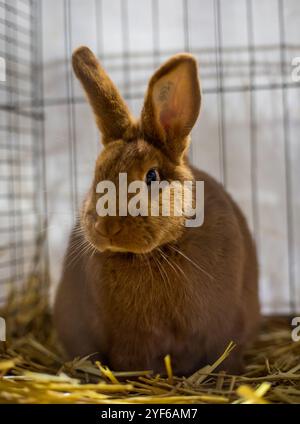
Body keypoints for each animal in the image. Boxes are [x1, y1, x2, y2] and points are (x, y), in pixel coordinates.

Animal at [54, 46, 260, 376]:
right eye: (97, 173)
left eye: (152, 176)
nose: (105, 227)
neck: (158, 252)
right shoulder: (132, 339)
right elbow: (135, 360)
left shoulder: (223, 328)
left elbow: (223, 355)